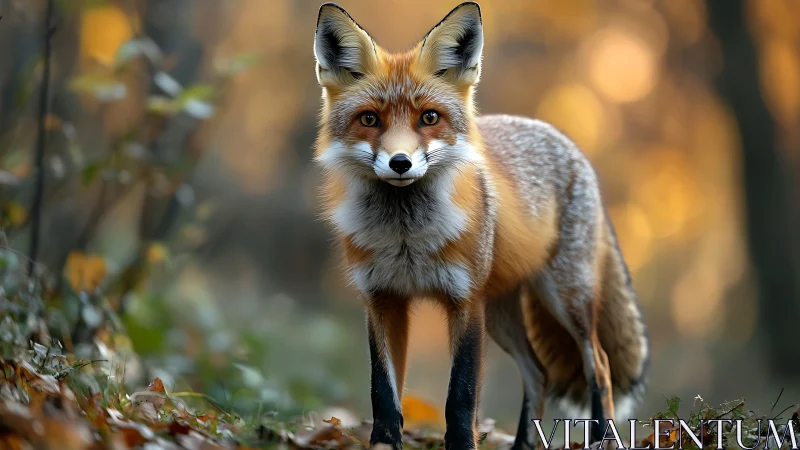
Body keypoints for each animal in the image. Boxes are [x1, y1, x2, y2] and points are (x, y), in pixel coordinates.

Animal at [312, 2, 649, 449]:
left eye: (429, 118)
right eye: (369, 119)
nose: (400, 162)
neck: (406, 239)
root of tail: (565, 139)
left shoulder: (465, 301)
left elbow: (461, 394)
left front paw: (460, 444)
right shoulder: (382, 300)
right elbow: (383, 393)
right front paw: (384, 443)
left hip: (566, 299)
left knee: (601, 366)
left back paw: (600, 438)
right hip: (503, 316)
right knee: (539, 373)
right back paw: (523, 444)